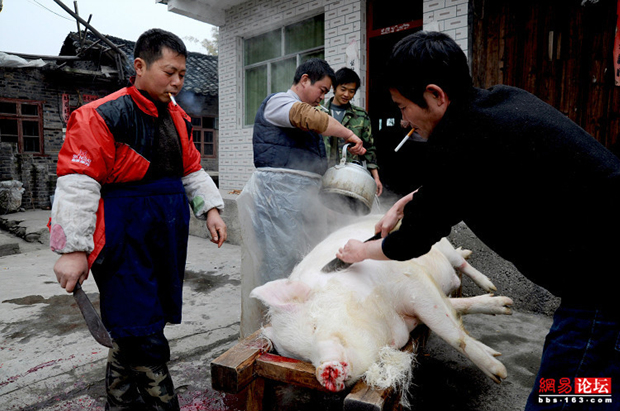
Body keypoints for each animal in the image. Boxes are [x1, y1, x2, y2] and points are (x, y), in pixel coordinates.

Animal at [250, 215, 513, 394]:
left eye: (314, 326)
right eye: (303, 357)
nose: (326, 371)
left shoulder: (411, 279)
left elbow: (449, 331)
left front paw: (500, 373)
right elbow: (448, 318)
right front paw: (496, 357)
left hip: (441, 244)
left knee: (461, 263)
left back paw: (491, 286)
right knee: (457, 299)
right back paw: (505, 305)